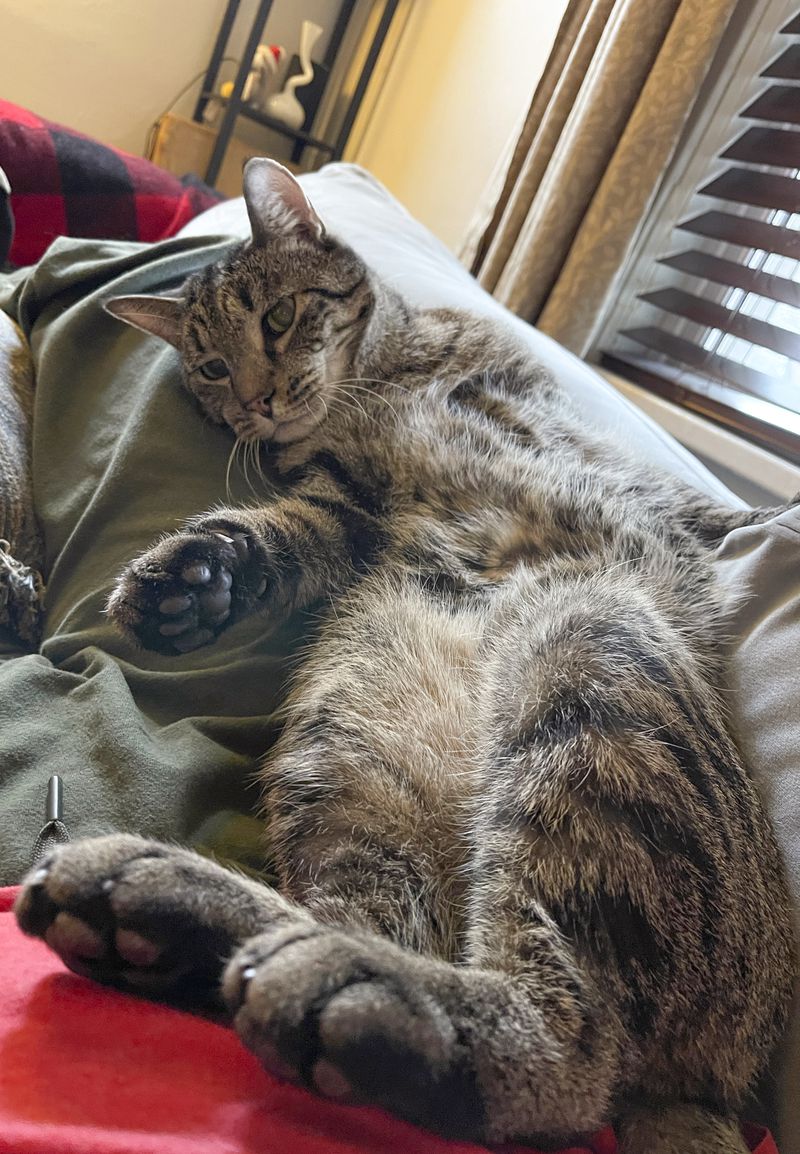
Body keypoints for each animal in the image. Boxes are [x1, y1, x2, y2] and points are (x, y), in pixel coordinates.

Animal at [15, 160, 794, 1154]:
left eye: (278, 319)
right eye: (213, 367)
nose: (259, 401)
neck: (377, 383)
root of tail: (713, 1093)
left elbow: (693, 504)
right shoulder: (343, 504)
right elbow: (277, 535)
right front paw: (191, 582)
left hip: (589, 662)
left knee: (567, 1050)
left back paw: (340, 986)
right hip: (349, 755)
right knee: (360, 934)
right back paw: (151, 910)